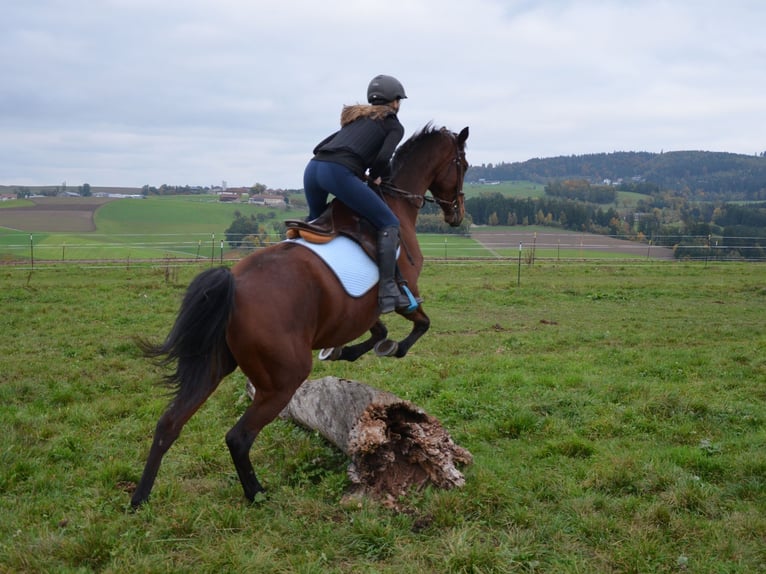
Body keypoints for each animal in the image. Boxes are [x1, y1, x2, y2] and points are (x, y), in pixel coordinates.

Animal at [130, 124, 469, 507]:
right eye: (463, 165)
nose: (456, 214)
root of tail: (234, 283)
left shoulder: (360, 311)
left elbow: (377, 331)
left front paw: (342, 351)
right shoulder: (404, 294)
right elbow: (418, 325)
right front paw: (388, 349)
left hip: (213, 364)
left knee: (169, 424)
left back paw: (139, 498)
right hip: (282, 380)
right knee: (238, 437)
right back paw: (257, 495)